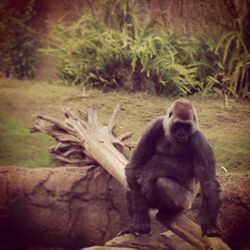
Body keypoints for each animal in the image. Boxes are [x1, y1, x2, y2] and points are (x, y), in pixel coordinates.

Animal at [124, 97, 221, 236]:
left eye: (186, 126)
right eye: (178, 125)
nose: (182, 134)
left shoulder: (198, 139)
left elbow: (209, 182)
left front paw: (210, 224)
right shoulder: (154, 126)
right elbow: (134, 166)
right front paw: (141, 216)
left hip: (187, 203)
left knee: (163, 183)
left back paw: (170, 211)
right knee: (130, 187)